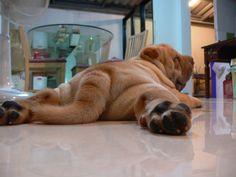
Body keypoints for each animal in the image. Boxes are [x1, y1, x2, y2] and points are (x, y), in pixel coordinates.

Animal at [0, 44, 201, 134]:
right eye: (176, 59)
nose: (193, 59)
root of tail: (97, 73)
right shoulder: (172, 89)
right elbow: (187, 96)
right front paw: (197, 100)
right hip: (148, 88)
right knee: (154, 99)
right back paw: (166, 112)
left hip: (57, 93)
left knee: (35, 100)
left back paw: (12, 110)